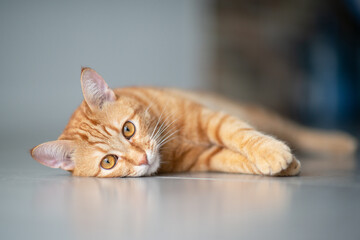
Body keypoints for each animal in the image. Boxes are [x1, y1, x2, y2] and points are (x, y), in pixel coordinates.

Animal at [29, 67, 356, 176]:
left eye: (128, 129)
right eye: (108, 162)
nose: (142, 158)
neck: (169, 147)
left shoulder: (211, 118)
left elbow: (241, 135)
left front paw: (271, 152)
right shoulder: (205, 158)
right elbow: (232, 158)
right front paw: (283, 164)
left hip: (261, 115)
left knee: (299, 132)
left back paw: (342, 142)